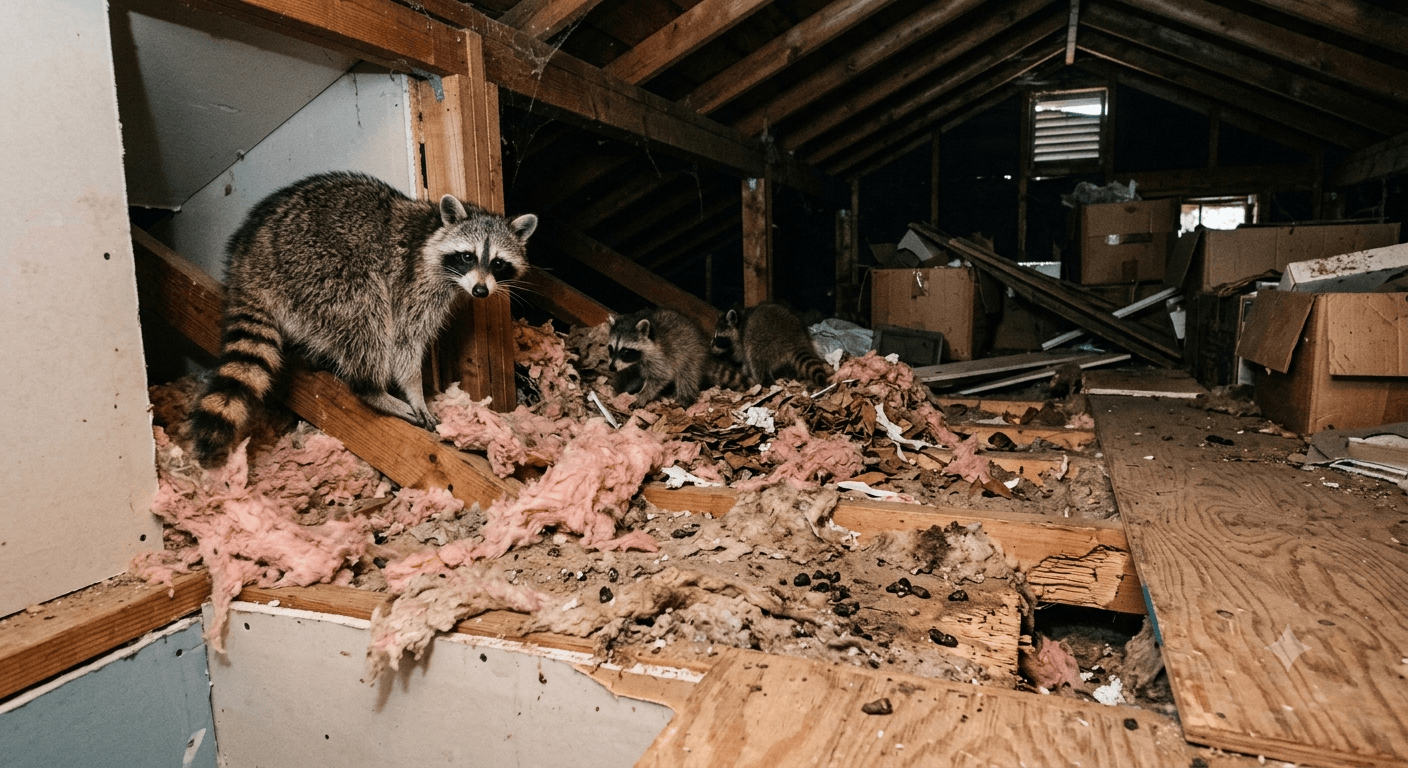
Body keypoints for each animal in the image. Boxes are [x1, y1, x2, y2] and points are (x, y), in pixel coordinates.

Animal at [185, 171, 537, 468]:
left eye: (498, 263)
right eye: (467, 256)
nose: (480, 291)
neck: (433, 228)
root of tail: (247, 258)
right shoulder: (414, 279)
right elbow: (405, 339)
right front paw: (414, 391)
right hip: (314, 264)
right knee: (364, 310)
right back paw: (370, 387)